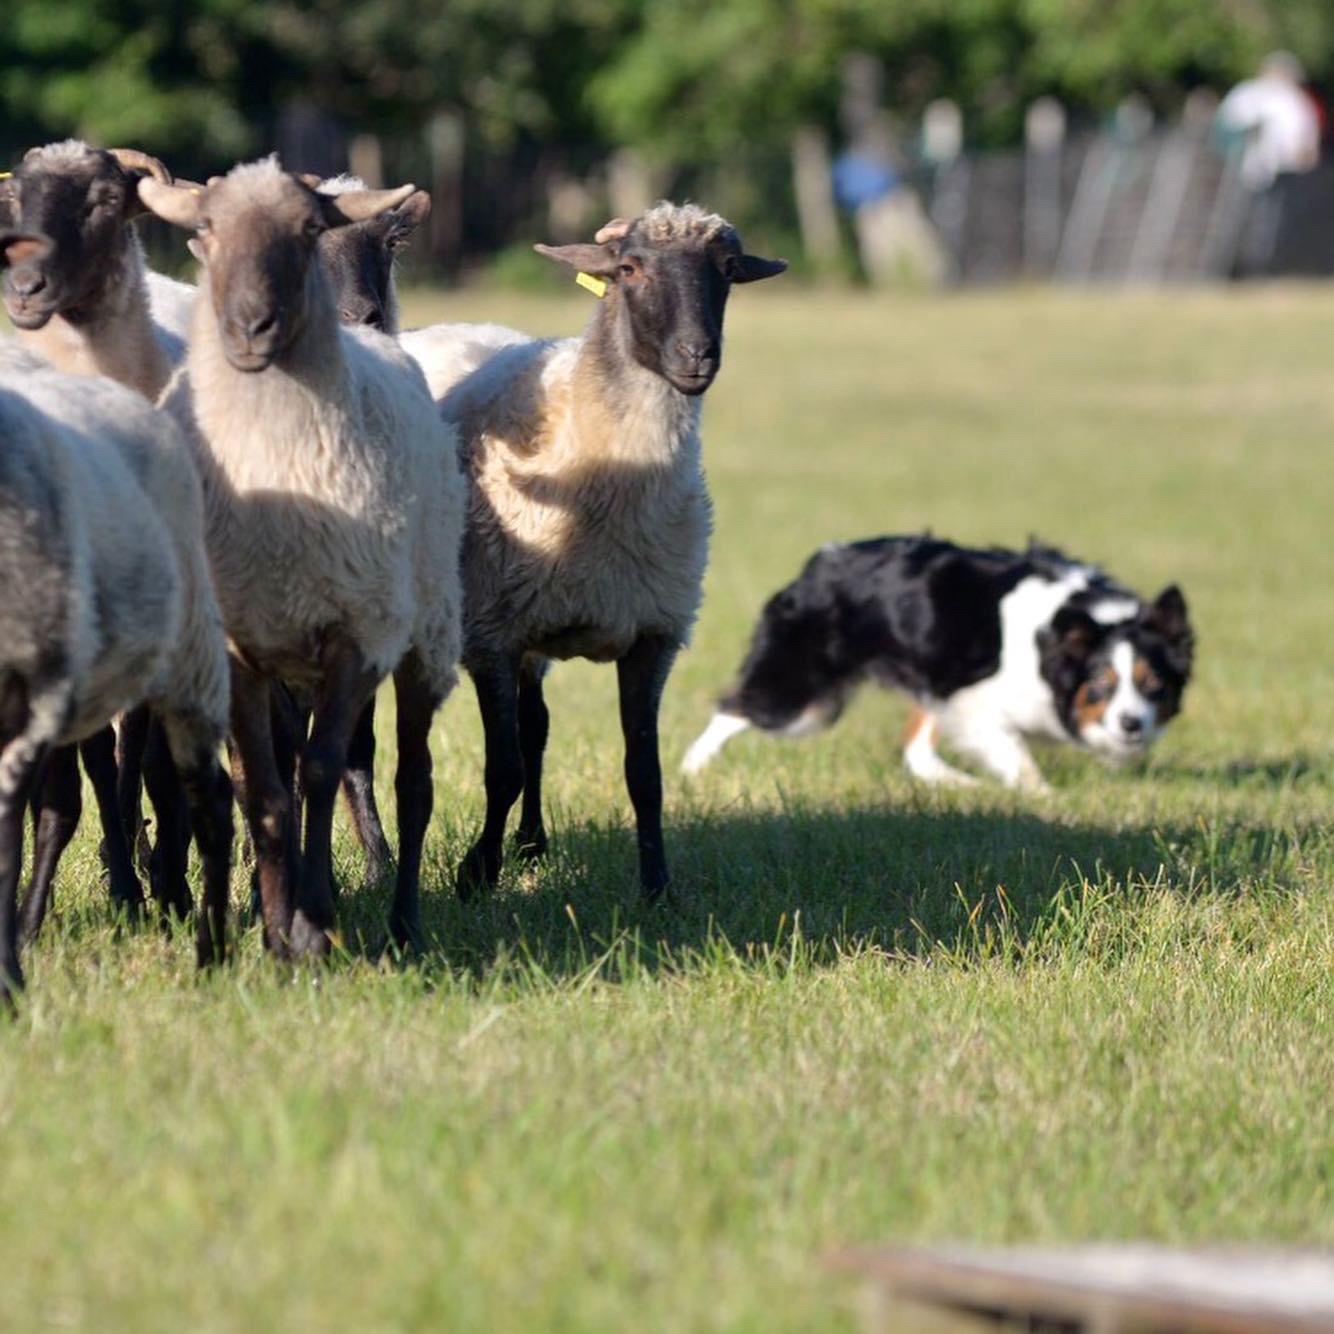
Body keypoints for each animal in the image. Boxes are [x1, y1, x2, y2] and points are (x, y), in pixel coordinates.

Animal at [140, 158, 464, 960]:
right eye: (204, 229)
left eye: (309, 229)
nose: (249, 329)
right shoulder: (241, 649)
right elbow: (266, 788)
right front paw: (277, 928)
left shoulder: (354, 632)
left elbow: (322, 769)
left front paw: (314, 920)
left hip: (425, 632)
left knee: (413, 781)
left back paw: (405, 920)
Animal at [397, 202, 789, 901]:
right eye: (628, 269)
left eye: (726, 269)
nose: (697, 356)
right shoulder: (491, 636)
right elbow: (502, 768)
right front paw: (477, 873)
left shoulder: (651, 637)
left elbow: (643, 774)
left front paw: (657, 886)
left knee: (537, 725)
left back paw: (532, 840)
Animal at [683, 536, 1195, 789]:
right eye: (1101, 684)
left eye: (1153, 684)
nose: (1131, 723)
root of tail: (824, 560)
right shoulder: (974, 700)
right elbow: (1018, 756)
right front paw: (1042, 796)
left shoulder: (952, 691)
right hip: (806, 698)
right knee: (736, 707)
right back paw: (693, 767)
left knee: (917, 751)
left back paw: (961, 785)